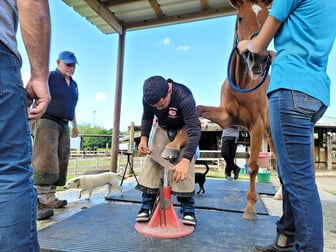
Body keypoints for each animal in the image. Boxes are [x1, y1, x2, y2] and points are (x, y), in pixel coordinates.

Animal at [198, 0, 274, 220]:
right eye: (240, 18)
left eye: (268, 17)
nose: (258, 59)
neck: (242, 82)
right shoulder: (225, 118)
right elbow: (198, 108)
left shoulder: (256, 125)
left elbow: (254, 166)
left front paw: (250, 207)